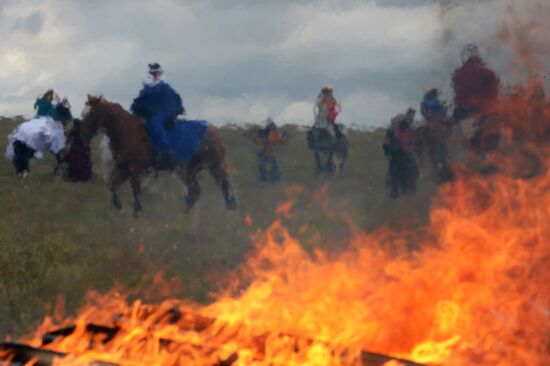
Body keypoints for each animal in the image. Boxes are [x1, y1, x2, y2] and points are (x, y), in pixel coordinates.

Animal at [80, 94, 237, 216]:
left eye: (93, 113)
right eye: (84, 113)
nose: (84, 134)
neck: (129, 132)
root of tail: (213, 131)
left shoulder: (134, 170)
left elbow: (135, 190)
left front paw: (136, 212)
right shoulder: (123, 169)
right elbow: (111, 186)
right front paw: (118, 205)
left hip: (205, 166)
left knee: (212, 187)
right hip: (193, 169)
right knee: (199, 190)